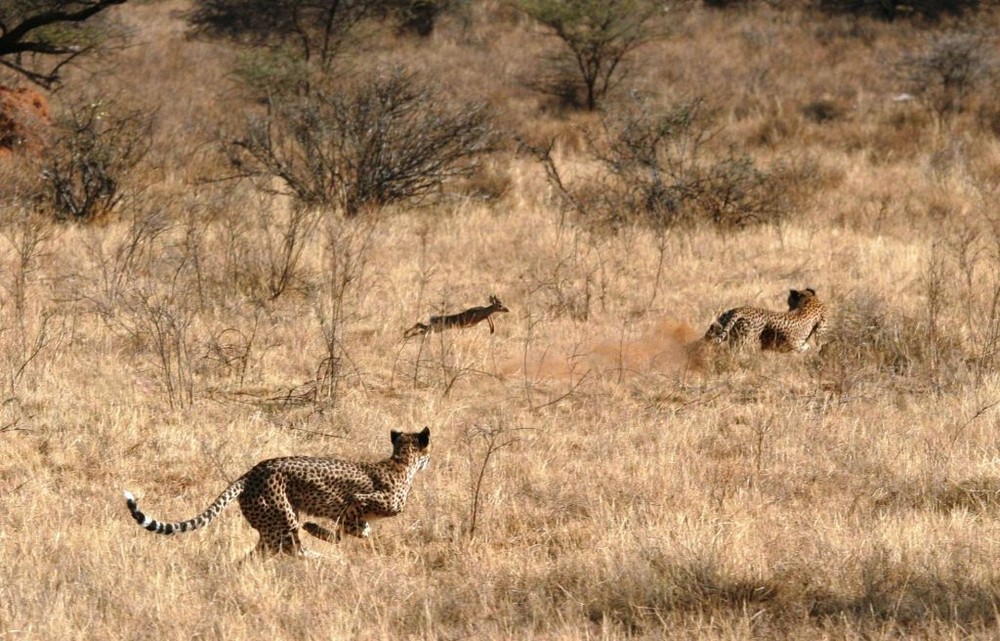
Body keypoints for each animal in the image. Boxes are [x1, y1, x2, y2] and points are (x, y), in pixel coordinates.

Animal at [123, 424, 428, 556]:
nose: (429, 461)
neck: (401, 462)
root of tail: (251, 471)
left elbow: (354, 530)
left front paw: (322, 531)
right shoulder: (358, 500)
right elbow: (353, 528)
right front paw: (319, 531)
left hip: (271, 526)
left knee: (256, 555)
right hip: (283, 520)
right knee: (293, 550)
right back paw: (317, 559)